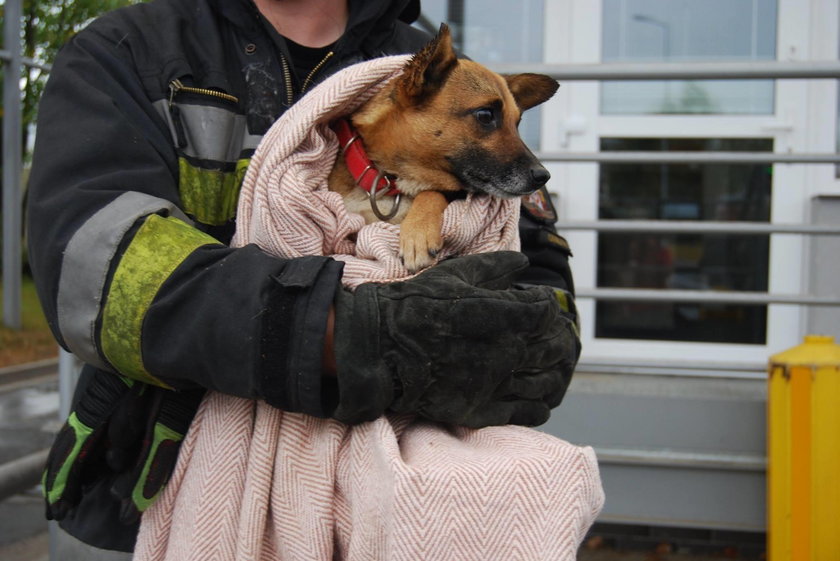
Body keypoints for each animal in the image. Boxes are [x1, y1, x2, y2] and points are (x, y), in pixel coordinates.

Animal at [328, 24, 556, 272]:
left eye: (517, 123)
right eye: (485, 115)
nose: (543, 176)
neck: (394, 182)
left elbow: (432, 192)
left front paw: (418, 234)